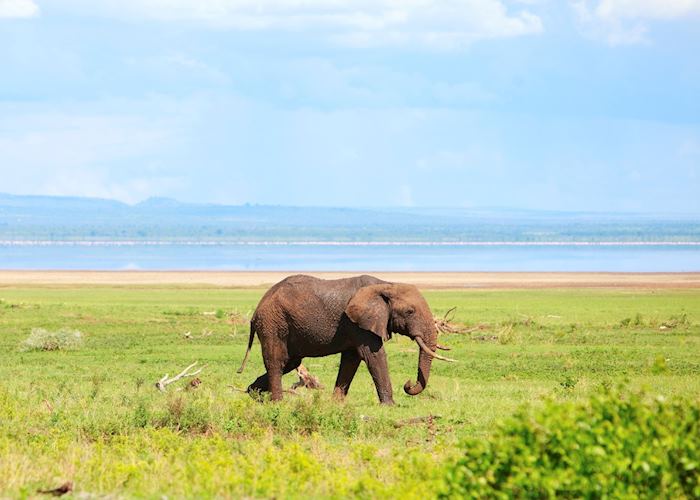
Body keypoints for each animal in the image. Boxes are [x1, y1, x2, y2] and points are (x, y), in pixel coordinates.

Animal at [237, 274, 454, 405]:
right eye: (410, 311)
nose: (408, 384)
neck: (387, 284)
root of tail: (256, 311)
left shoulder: (356, 327)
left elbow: (351, 359)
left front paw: (336, 403)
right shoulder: (360, 324)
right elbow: (373, 356)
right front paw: (390, 406)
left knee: (290, 362)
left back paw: (253, 394)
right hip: (273, 323)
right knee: (277, 361)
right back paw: (277, 402)